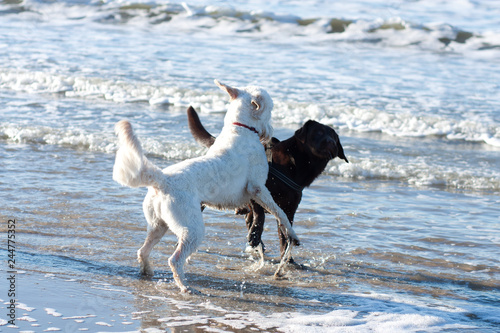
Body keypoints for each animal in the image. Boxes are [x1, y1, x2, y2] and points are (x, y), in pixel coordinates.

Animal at [113, 80, 298, 290]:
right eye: (271, 108)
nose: (272, 135)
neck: (240, 128)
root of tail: (162, 180)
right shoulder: (257, 188)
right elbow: (279, 212)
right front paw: (292, 233)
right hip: (191, 228)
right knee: (174, 259)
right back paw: (184, 286)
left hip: (158, 224)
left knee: (143, 251)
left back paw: (147, 271)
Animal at [188, 106, 348, 260]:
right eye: (318, 132)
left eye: (334, 137)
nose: (331, 143)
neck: (296, 166)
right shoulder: (256, 189)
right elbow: (260, 215)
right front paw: (256, 235)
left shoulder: (289, 209)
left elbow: (284, 235)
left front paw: (288, 259)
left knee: (248, 219)